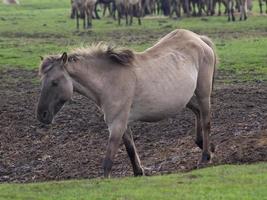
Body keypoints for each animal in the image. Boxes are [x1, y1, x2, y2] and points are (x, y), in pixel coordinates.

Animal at [36, 28, 218, 178]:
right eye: (42, 81)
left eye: (54, 82)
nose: (41, 115)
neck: (109, 80)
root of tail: (198, 39)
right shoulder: (123, 122)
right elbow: (130, 148)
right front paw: (138, 172)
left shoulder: (116, 124)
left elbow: (108, 160)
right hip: (184, 98)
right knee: (198, 113)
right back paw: (206, 146)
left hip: (203, 93)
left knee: (206, 121)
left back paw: (205, 157)